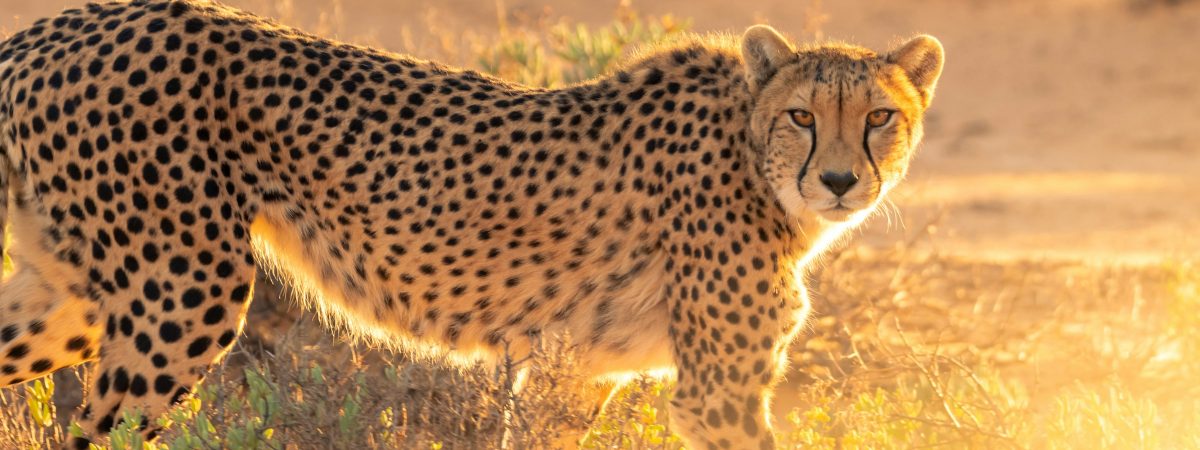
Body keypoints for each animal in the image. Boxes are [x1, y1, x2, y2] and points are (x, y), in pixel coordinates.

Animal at [0, 0, 944, 448]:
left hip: (74, 295)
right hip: (181, 297)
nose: (840, 181)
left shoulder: (575, 375)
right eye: (802, 116)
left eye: (879, 118)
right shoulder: (718, 393)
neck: (752, 157)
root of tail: (58, 26)